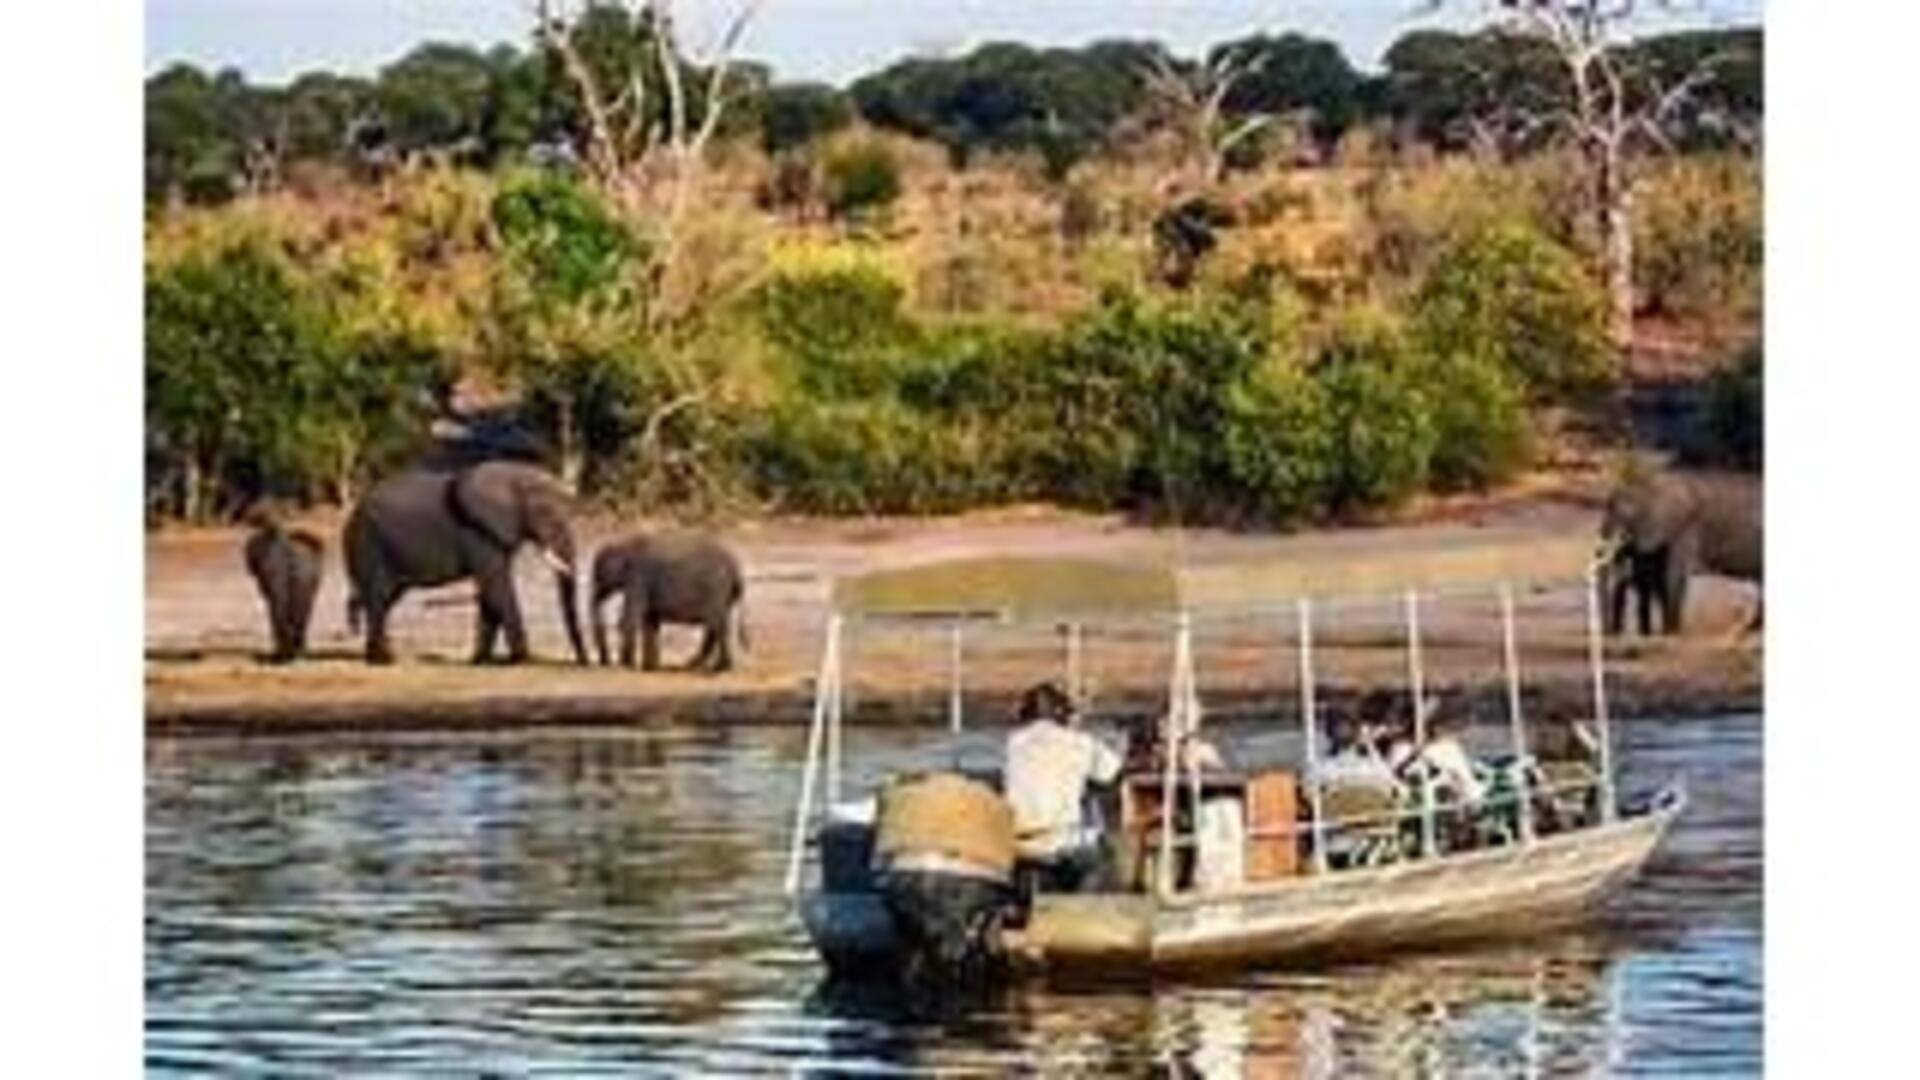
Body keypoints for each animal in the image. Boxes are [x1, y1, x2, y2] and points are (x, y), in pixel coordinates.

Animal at [341, 455, 583, 661]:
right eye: (545, 514)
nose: (584, 661)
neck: (513, 473)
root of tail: (352, 513)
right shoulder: (477, 533)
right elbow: (497, 586)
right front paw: (522, 658)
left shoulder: (496, 535)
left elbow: (490, 590)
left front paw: (480, 661)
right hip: (368, 543)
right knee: (378, 596)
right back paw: (382, 660)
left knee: (386, 598)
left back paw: (379, 654)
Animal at [591, 526, 748, 668]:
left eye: (599, 577)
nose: (606, 662)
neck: (623, 544)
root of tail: (736, 568)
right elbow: (650, 621)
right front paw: (649, 667)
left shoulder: (638, 577)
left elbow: (630, 618)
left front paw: (626, 664)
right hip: (723, 594)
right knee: (714, 626)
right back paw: (694, 665)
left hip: (716, 589)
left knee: (718, 624)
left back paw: (719, 667)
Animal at [1597, 468, 1758, 634]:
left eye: (1624, 515)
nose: (1608, 632)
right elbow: (1661, 578)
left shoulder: (1684, 530)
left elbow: (1672, 576)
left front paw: (1670, 632)